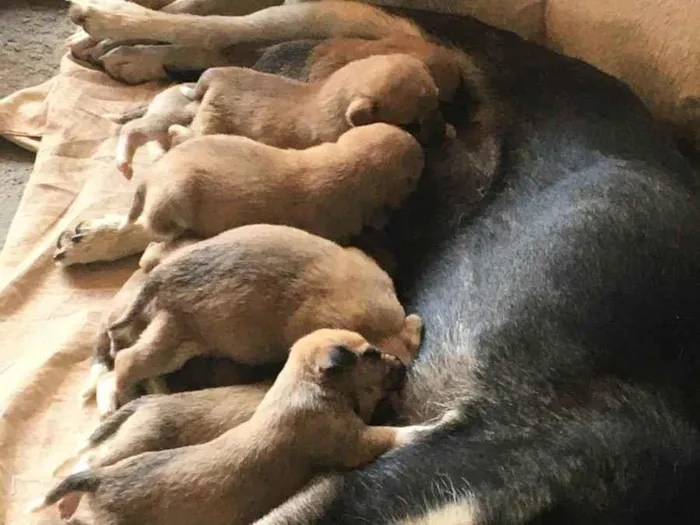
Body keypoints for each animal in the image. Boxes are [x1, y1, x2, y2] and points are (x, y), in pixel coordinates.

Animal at [28, 330, 432, 520]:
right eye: (371, 354)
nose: (402, 364)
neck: (302, 384)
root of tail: (100, 481)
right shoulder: (354, 441)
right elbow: (395, 434)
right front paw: (431, 425)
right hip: (129, 448)